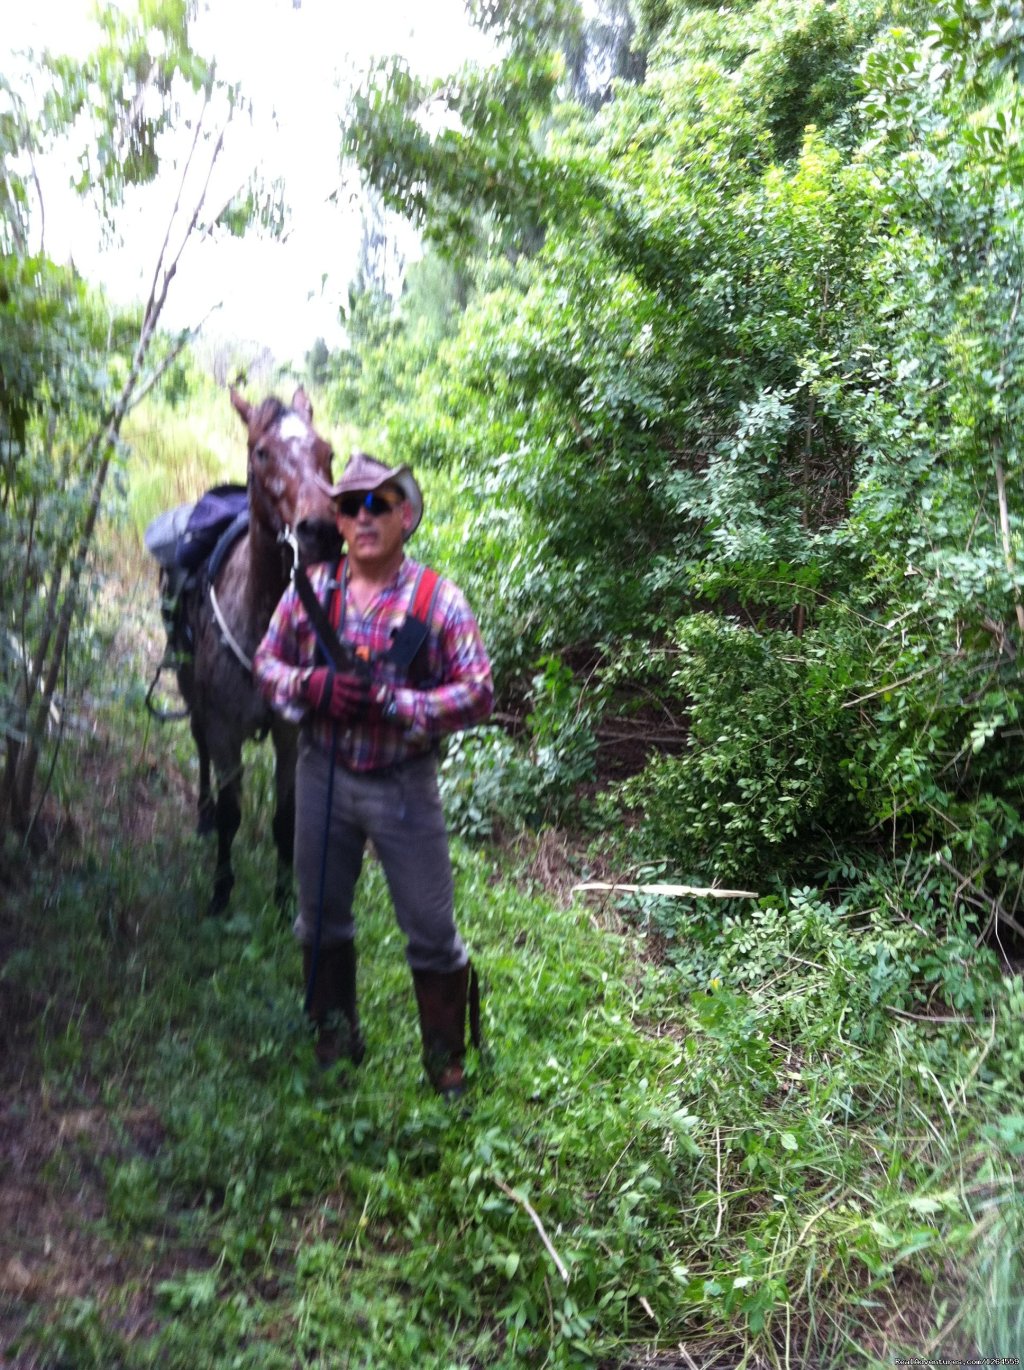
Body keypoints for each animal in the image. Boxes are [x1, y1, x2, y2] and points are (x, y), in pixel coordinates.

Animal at [174, 386, 338, 915]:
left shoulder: (290, 734)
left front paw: (285, 901)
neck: (263, 618)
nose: (321, 531)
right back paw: (203, 816)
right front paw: (220, 895)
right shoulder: (225, 730)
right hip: (190, 693)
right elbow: (232, 814)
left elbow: (287, 819)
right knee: (199, 744)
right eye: (262, 452)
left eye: (327, 451)